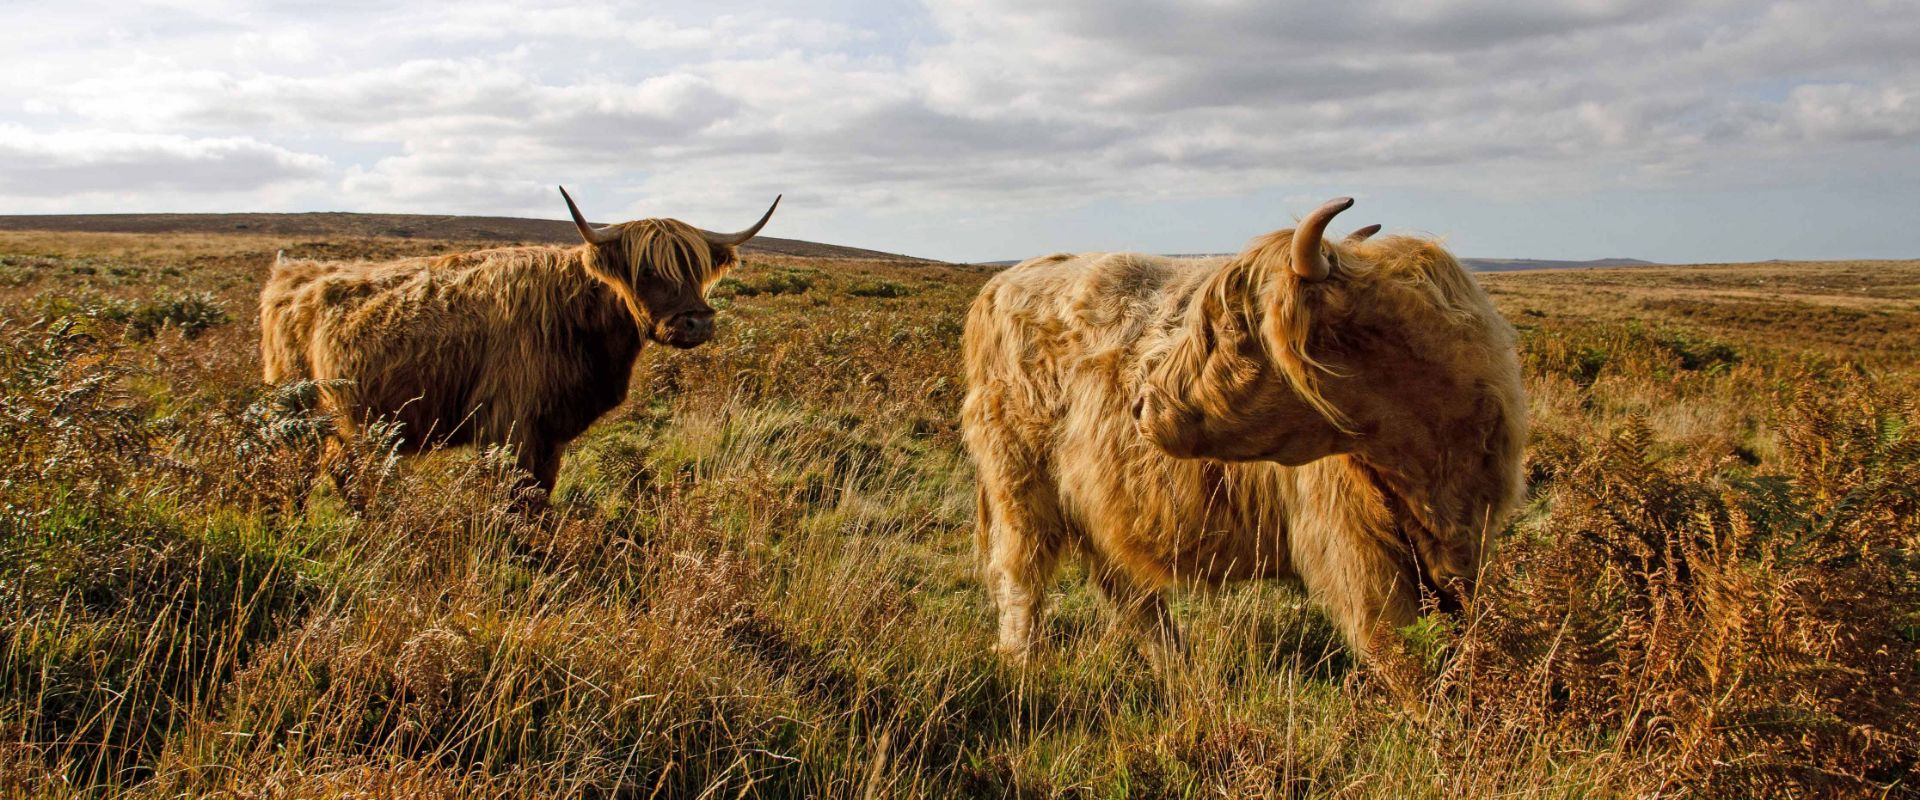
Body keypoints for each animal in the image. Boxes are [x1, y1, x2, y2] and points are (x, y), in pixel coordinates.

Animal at [259, 188, 775, 494]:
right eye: (647, 269)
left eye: (698, 269)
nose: (697, 323)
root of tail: (292, 273)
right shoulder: (511, 425)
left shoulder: (549, 434)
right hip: (299, 417)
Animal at [960, 196, 1528, 656]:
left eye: (1230, 325)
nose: (1140, 404)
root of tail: (1002, 281)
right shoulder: (1350, 549)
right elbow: (1399, 649)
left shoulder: (1470, 542)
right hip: (1019, 486)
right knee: (1020, 577)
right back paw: (1024, 666)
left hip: (1095, 505)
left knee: (1128, 589)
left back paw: (1178, 670)